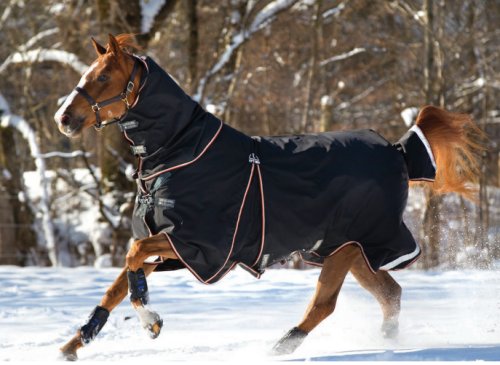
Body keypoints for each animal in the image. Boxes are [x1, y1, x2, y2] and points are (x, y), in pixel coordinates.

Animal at [52, 34, 482, 362]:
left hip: (346, 248)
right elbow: (120, 280)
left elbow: (133, 257)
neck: (183, 151)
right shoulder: (179, 248)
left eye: (103, 76)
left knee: (325, 304)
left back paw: (281, 346)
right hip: (354, 250)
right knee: (390, 295)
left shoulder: (198, 244)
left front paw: (151, 320)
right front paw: (76, 342)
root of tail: (398, 150)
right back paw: (385, 342)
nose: (64, 118)